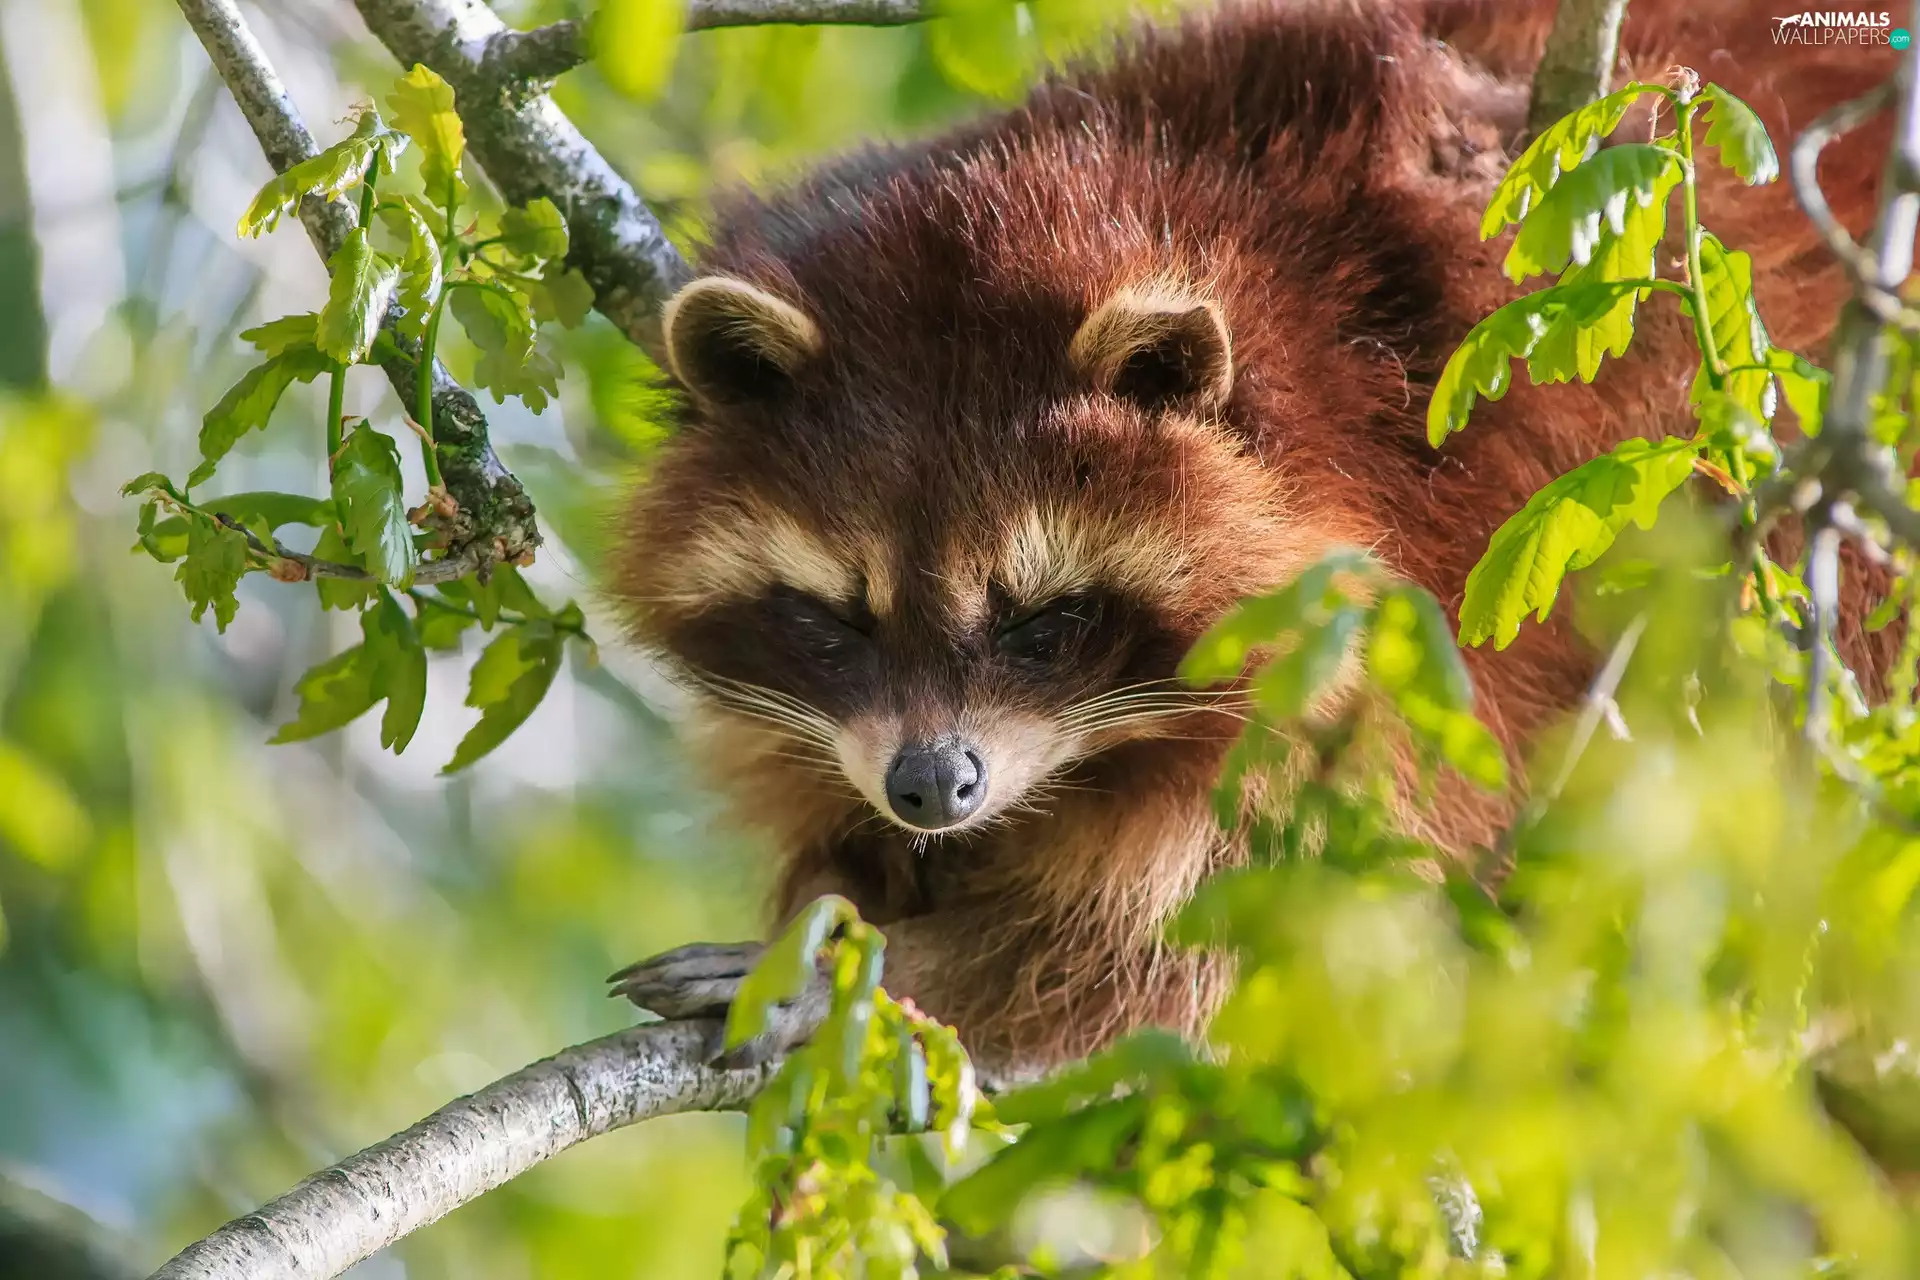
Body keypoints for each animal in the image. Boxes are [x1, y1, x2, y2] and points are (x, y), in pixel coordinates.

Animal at [607, 0, 1896, 1076]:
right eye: (837, 622)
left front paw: (873, 971)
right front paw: (856, 894)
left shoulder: (1450, 567)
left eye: (1046, 620)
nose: (930, 785)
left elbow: (1226, 924)